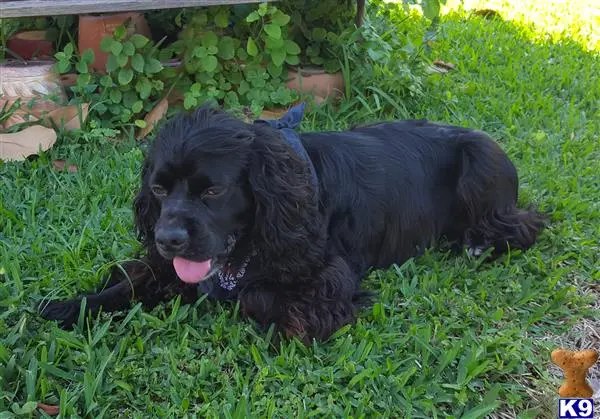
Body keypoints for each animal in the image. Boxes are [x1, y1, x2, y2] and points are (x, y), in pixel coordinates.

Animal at [41, 103, 548, 342]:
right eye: (160, 190)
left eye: (213, 191)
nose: (168, 239)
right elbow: (134, 279)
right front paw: (71, 306)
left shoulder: (328, 280)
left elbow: (259, 294)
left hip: (480, 161)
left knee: (526, 224)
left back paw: (478, 242)